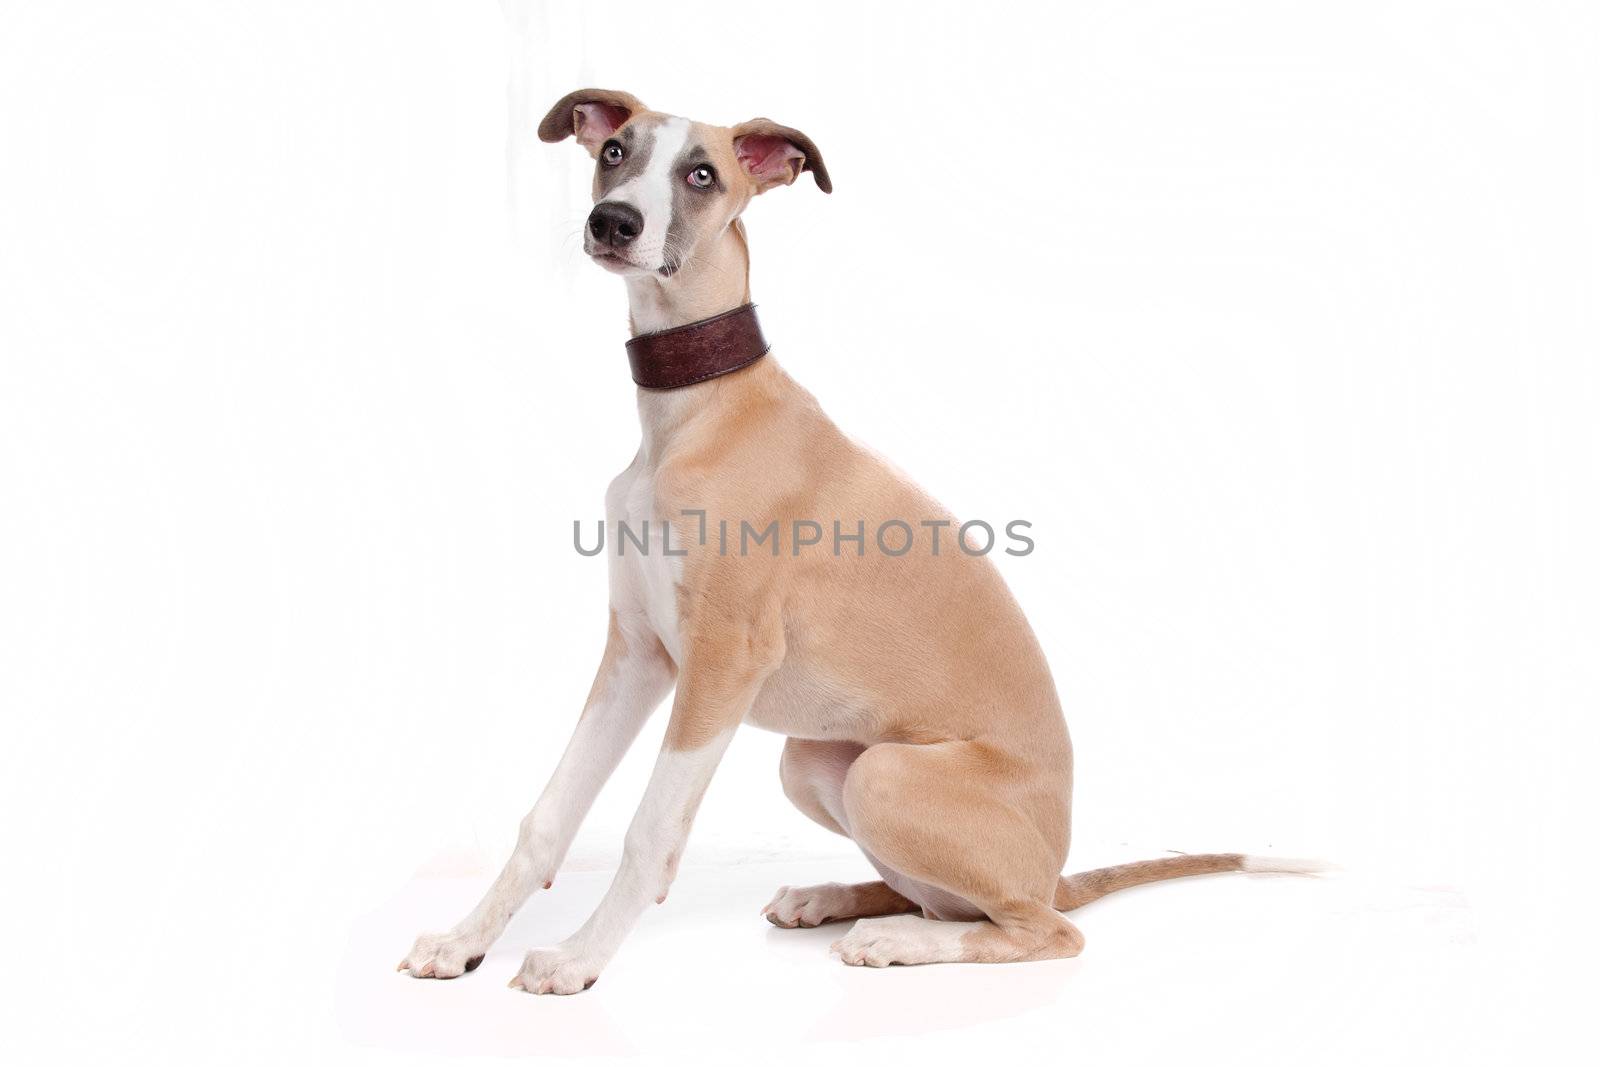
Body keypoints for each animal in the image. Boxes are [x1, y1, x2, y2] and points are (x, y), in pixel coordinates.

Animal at [393, 89, 1318, 991]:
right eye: (615, 153)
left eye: (701, 172)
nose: (613, 222)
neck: (699, 408)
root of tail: (1056, 866)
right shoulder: (638, 655)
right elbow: (546, 816)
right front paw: (463, 941)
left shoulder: (722, 662)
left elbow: (650, 830)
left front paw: (580, 957)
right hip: (812, 763)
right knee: (950, 900)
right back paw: (834, 899)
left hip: (887, 775)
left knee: (1037, 929)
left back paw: (896, 939)